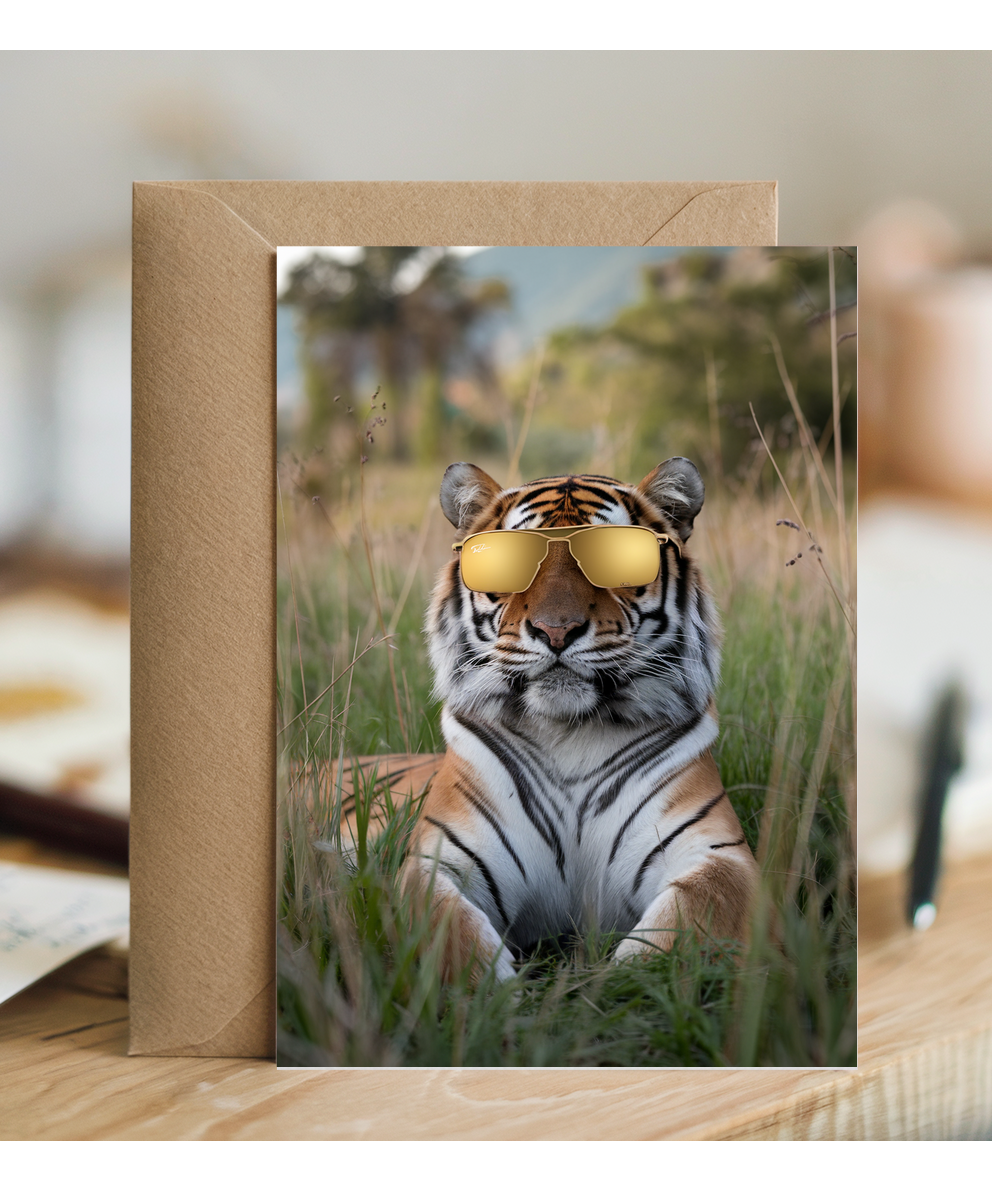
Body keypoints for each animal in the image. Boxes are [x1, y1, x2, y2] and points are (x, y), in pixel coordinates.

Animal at [344, 457, 758, 982]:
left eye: (612, 556)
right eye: (513, 560)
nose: (556, 630)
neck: (569, 734)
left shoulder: (720, 856)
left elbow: (673, 937)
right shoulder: (435, 863)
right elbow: (452, 938)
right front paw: (496, 995)